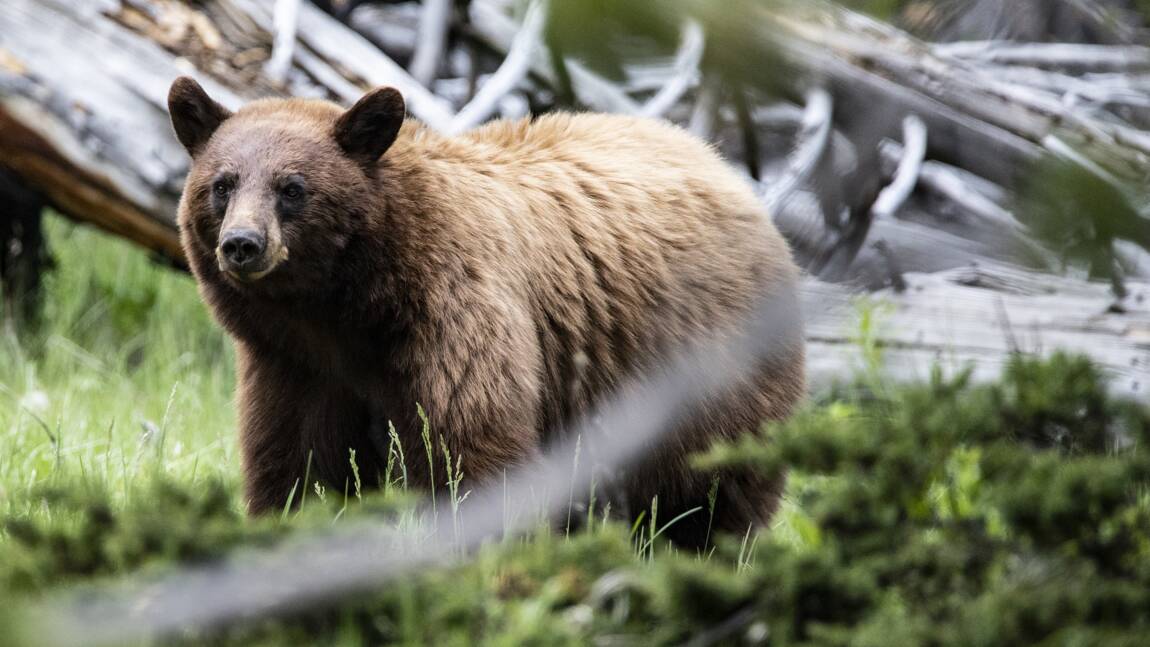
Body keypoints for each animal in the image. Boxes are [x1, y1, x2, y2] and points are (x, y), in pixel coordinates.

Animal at [166, 78, 805, 549]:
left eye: (292, 187)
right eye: (222, 184)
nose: (242, 244)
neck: (347, 309)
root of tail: (726, 170)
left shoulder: (455, 311)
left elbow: (472, 447)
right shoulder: (295, 365)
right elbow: (299, 464)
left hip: (709, 369)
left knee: (714, 491)